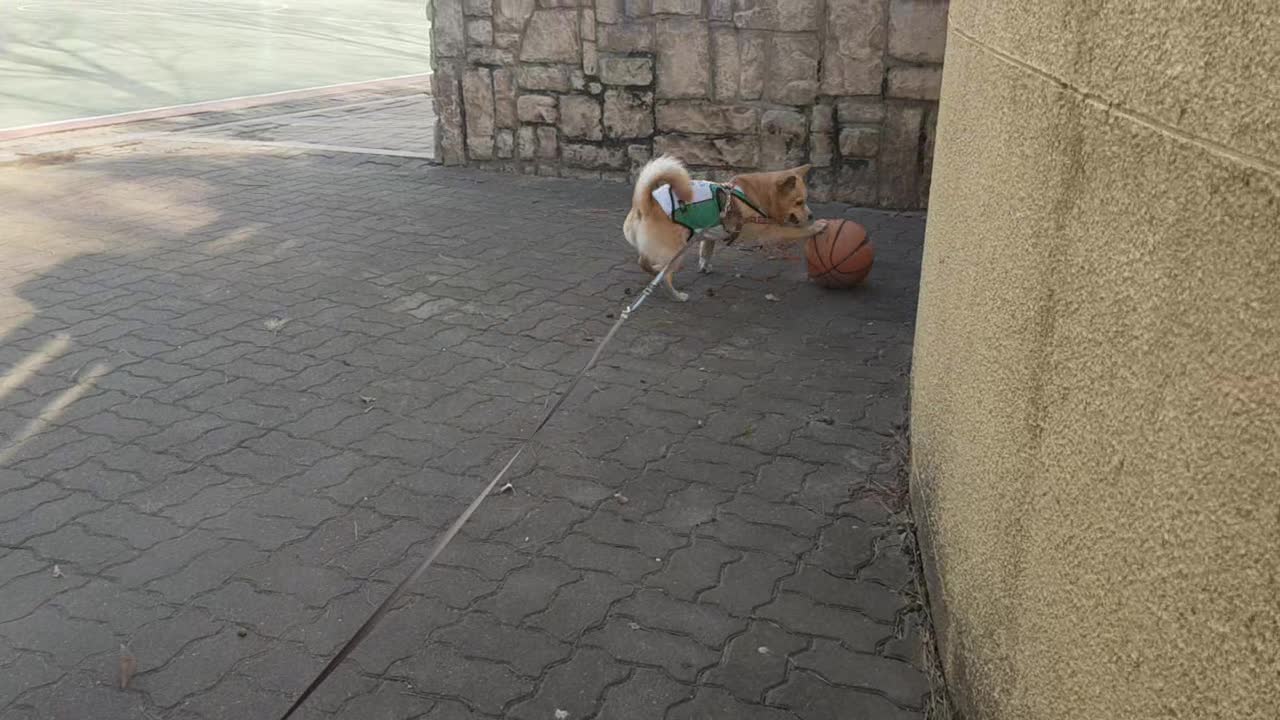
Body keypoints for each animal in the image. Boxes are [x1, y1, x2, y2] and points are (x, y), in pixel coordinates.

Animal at [622, 155, 824, 301]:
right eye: (799, 202)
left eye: (805, 201)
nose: (811, 216)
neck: (759, 194)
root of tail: (645, 203)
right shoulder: (770, 231)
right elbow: (795, 231)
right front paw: (817, 226)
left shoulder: (707, 233)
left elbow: (706, 250)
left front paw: (704, 266)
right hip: (676, 253)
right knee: (664, 276)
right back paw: (676, 295)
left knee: (644, 261)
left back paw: (654, 271)